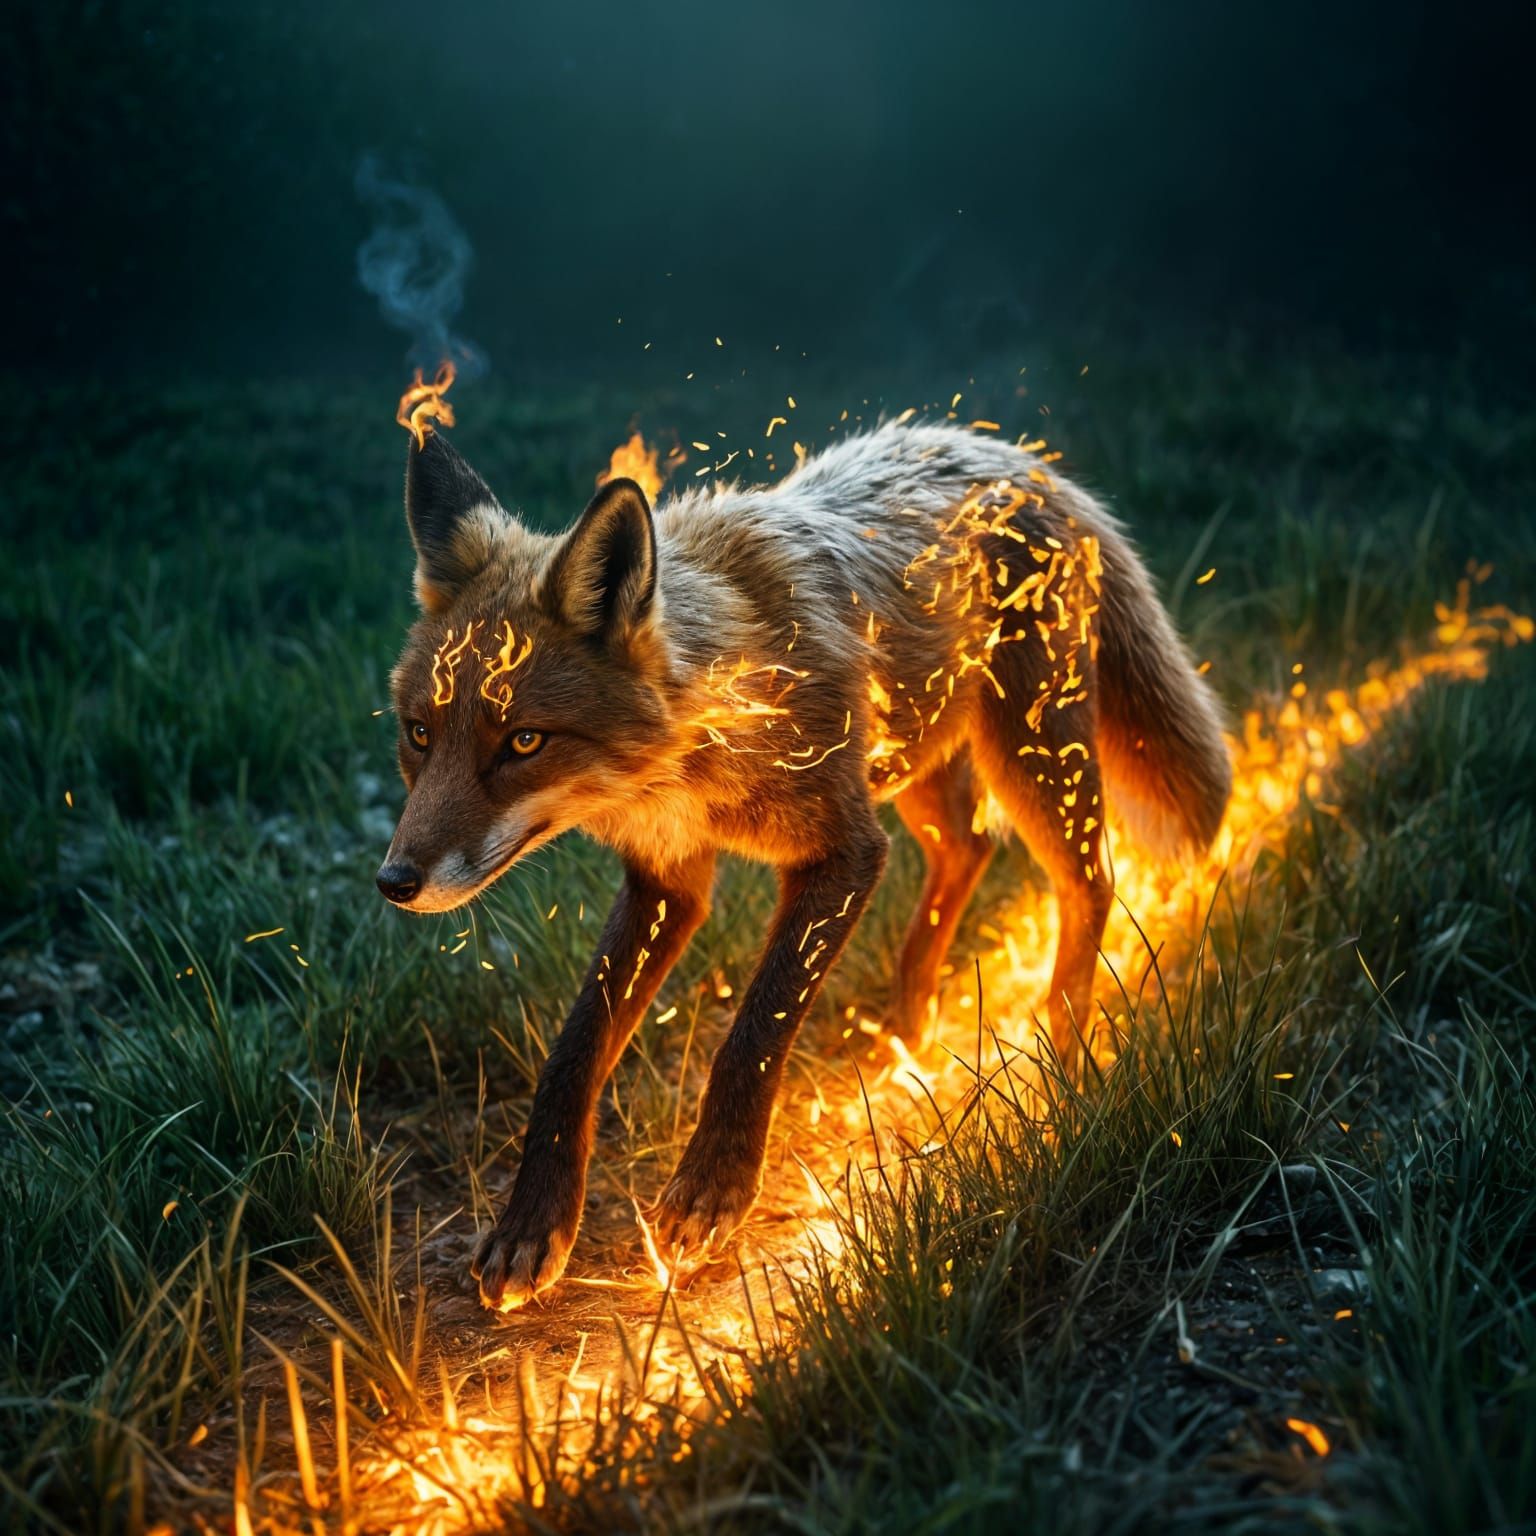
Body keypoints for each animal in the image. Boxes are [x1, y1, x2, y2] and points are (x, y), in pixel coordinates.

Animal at [376, 417, 1231, 1311]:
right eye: (418, 734)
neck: (704, 736)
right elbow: (573, 1055)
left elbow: (754, 1030)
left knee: (1088, 881)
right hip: (911, 759)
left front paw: (713, 1188)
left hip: (1026, 755)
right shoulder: (667, 882)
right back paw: (909, 1022)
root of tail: (1015, 460)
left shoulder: (843, 851)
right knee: (968, 848)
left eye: (523, 742)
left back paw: (1062, 1046)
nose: (395, 884)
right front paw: (534, 1222)